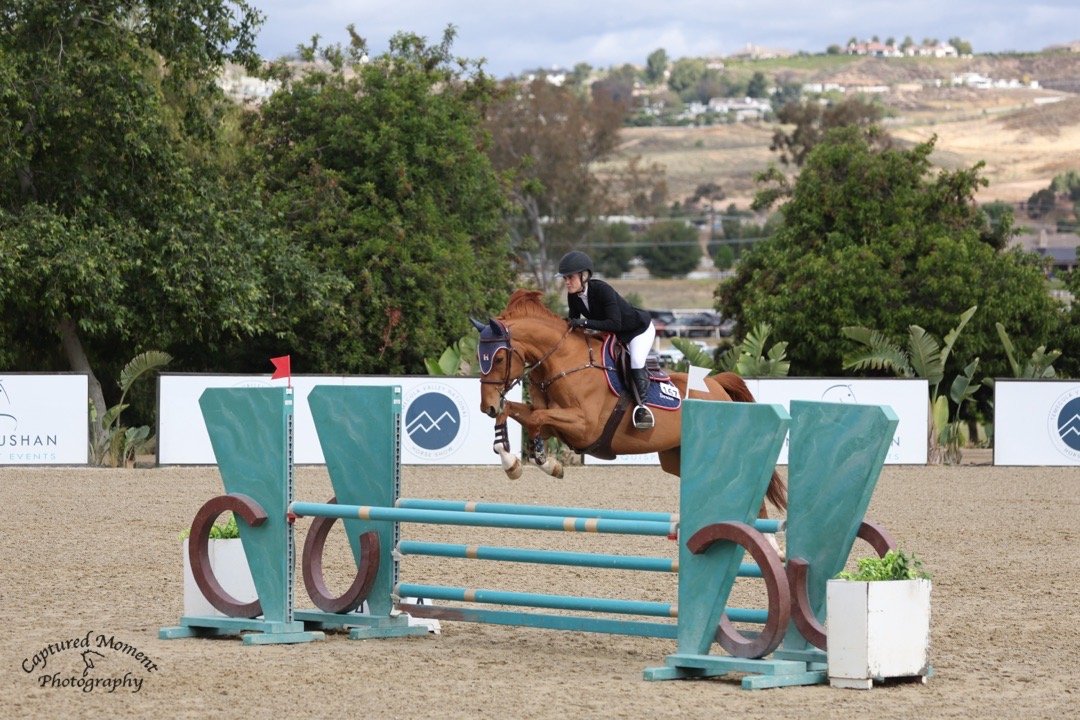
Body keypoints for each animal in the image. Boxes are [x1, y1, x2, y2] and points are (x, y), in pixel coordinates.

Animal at [473, 289, 787, 517]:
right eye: (480, 357)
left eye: (498, 358)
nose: (486, 407)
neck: (564, 362)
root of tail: (717, 385)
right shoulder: (555, 421)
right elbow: (518, 414)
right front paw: (517, 461)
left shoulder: (584, 426)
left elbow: (535, 420)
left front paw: (540, 461)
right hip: (678, 457)